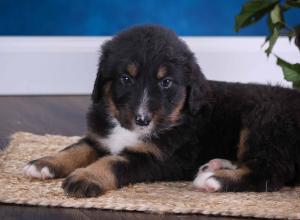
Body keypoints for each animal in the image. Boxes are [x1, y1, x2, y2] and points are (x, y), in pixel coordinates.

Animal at [22, 24, 300, 197]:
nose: (142, 119)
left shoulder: (157, 156)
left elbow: (114, 162)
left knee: (270, 173)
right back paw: (214, 166)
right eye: (126, 78)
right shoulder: (100, 137)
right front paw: (44, 163)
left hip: (264, 121)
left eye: (166, 82)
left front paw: (86, 177)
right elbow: (75, 149)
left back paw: (213, 180)